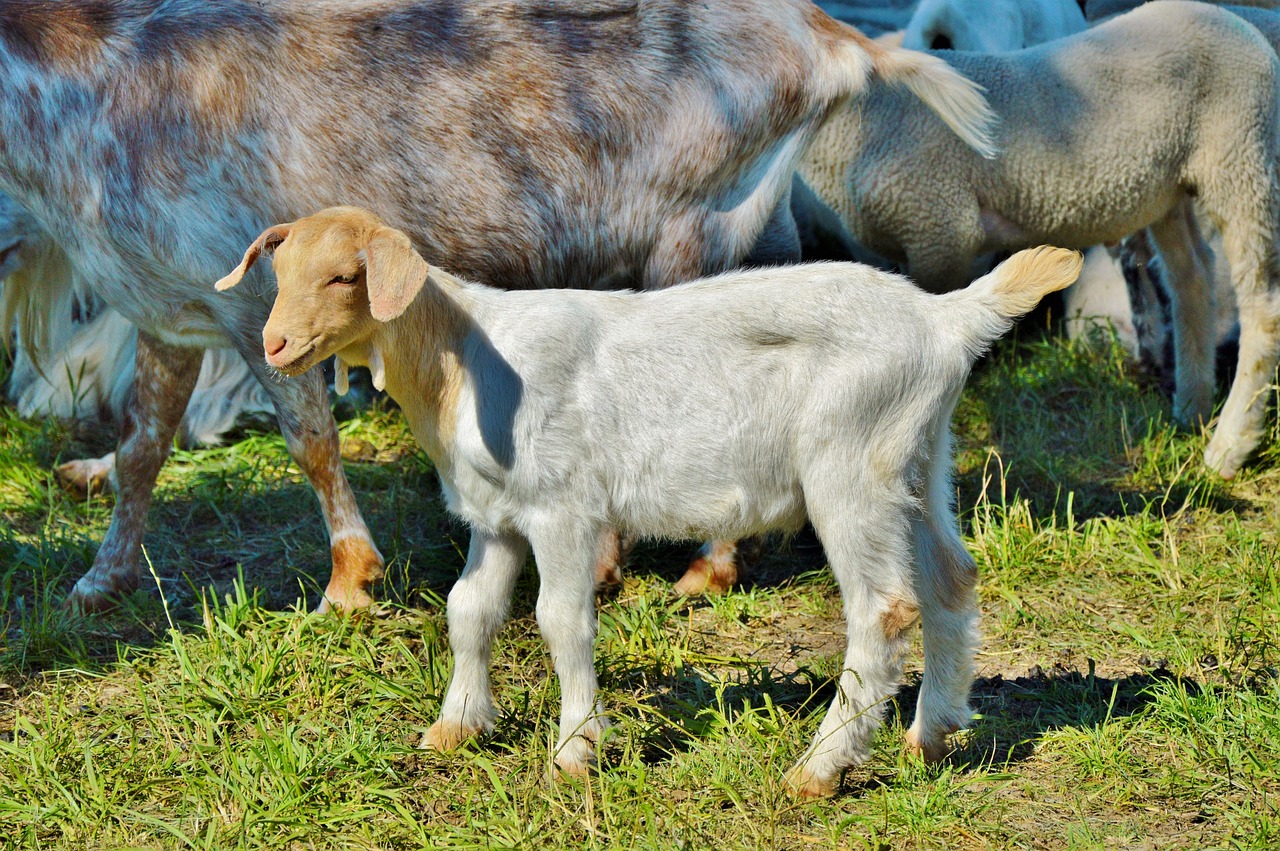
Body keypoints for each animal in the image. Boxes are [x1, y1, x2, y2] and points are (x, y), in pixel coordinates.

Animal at [0, 0, 998, 611]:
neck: (92, 85)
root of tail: (829, 36)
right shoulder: (165, 309)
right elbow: (140, 450)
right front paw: (99, 580)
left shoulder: (255, 309)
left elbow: (312, 442)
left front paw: (349, 584)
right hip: (762, 228)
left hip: (691, 234)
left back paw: (698, 569)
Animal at [217, 206, 1080, 798]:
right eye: (279, 274)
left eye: (344, 276)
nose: (276, 346)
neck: (462, 358)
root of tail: (946, 316)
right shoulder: (498, 518)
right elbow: (470, 610)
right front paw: (454, 726)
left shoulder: (561, 506)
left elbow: (560, 619)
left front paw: (575, 749)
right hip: (917, 457)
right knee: (950, 580)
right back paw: (931, 735)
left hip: (849, 464)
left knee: (886, 608)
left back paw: (818, 769)